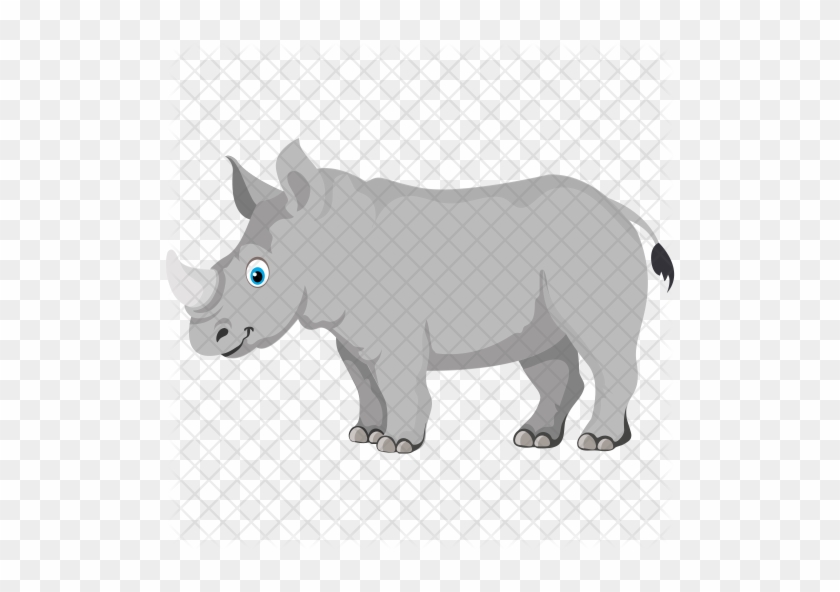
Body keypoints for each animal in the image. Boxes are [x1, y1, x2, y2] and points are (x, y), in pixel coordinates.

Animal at [167, 140, 674, 454]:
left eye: (257, 275)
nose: (204, 338)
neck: (325, 237)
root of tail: (619, 209)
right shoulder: (351, 335)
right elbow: (366, 385)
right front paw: (364, 434)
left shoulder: (398, 334)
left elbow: (399, 385)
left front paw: (397, 445)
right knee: (546, 352)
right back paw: (536, 439)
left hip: (593, 252)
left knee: (604, 349)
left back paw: (598, 443)